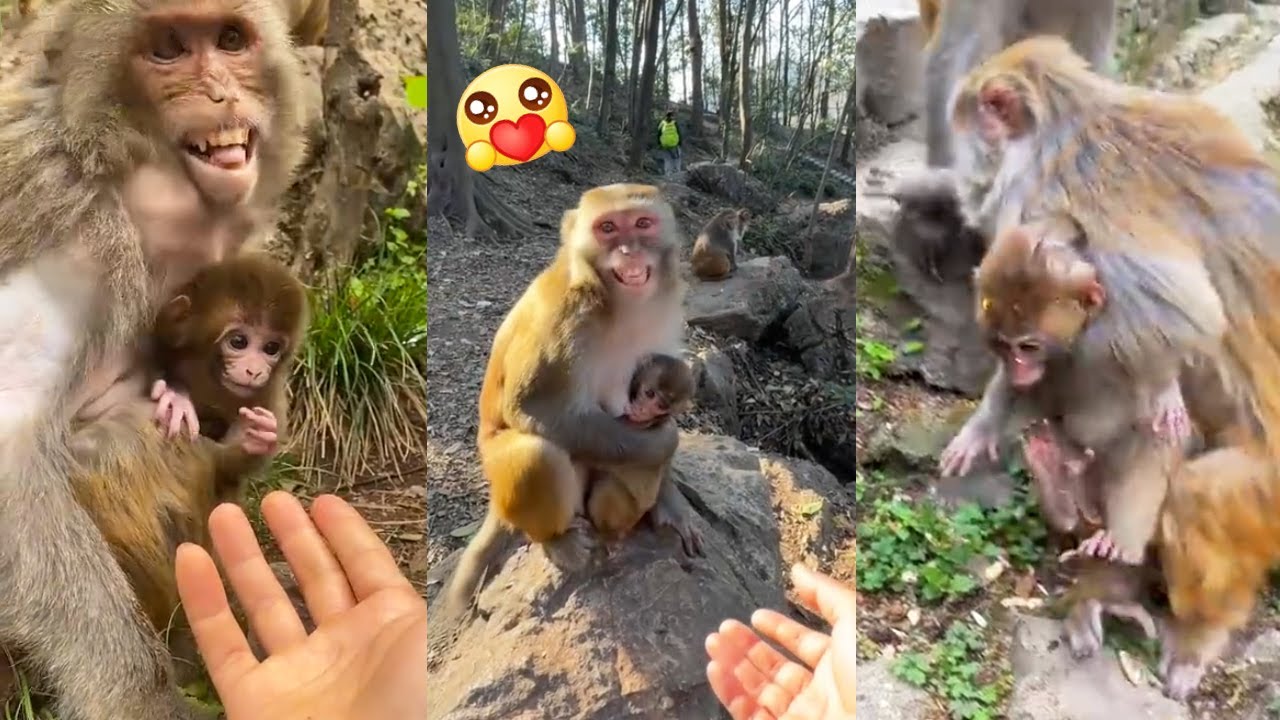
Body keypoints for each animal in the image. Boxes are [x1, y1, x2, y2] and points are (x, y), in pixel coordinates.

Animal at [0, 0, 308, 715]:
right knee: (119, 438)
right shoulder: (81, 234)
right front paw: (143, 696)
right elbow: (12, 444)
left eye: (230, 39)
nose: (219, 92)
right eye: (168, 49)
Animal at [943, 36, 1280, 699]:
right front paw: (985, 425)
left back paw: (1197, 632)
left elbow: (1186, 311)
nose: (961, 170)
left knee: (1198, 491)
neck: (1072, 123)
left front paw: (1158, 385)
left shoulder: (1059, 196)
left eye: (972, 122)